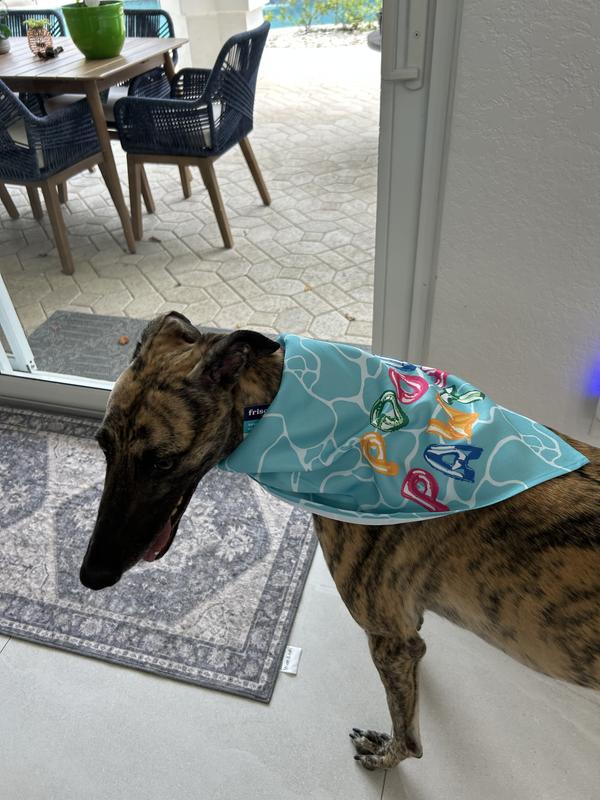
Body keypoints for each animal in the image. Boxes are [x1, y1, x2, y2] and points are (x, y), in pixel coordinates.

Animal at [80, 311, 600, 770]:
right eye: (103, 446)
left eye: (161, 462)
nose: (90, 577)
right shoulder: (404, 628)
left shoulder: (388, 640)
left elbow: (410, 736)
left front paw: (388, 754)